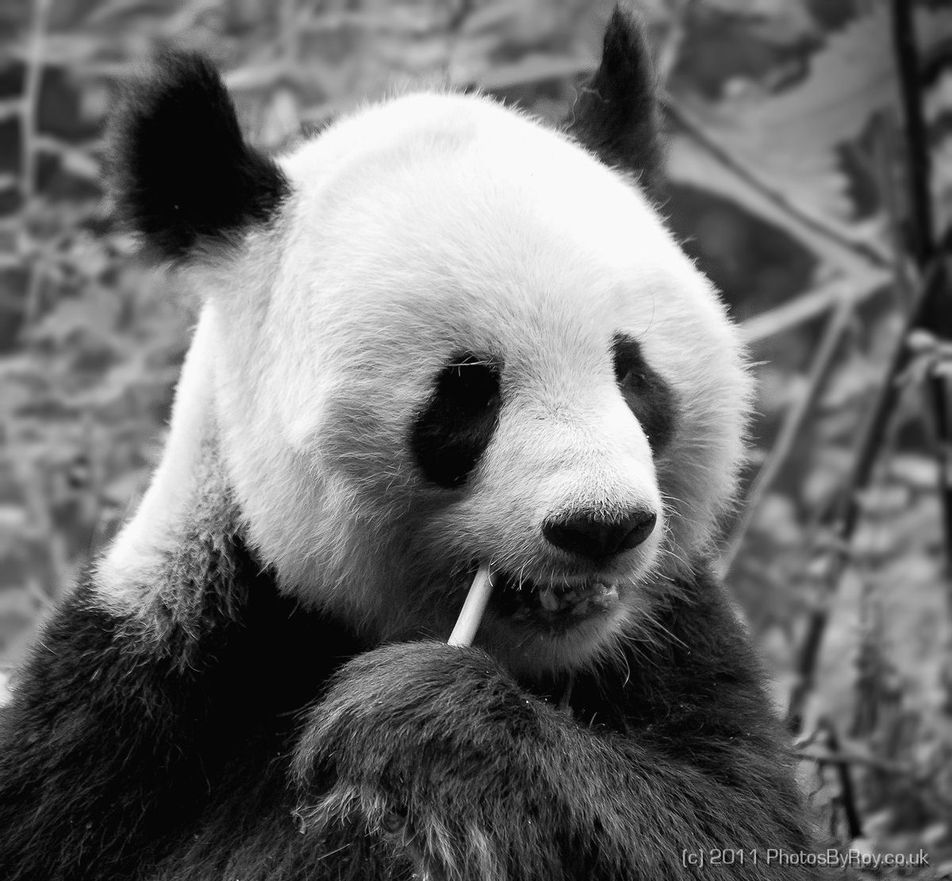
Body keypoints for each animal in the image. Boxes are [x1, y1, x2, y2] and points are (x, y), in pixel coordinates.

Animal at [0, 6, 820, 881]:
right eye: (467, 392)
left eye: (632, 373)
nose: (600, 526)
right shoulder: (136, 692)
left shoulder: (679, 641)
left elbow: (734, 824)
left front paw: (418, 720)